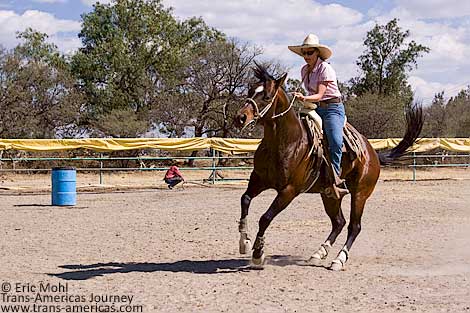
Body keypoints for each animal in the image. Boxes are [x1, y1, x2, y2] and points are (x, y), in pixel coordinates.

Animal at [235, 62, 422, 268]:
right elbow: (245, 199)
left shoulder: (289, 190)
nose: (240, 118)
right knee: (338, 222)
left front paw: (258, 253)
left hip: (360, 194)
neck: (286, 142)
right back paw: (319, 253)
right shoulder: (258, 179)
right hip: (330, 195)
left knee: (354, 226)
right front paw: (244, 242)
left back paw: (339, 260)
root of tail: (372, 153)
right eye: (251, 90)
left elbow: (265, 217)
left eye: (267, 96)